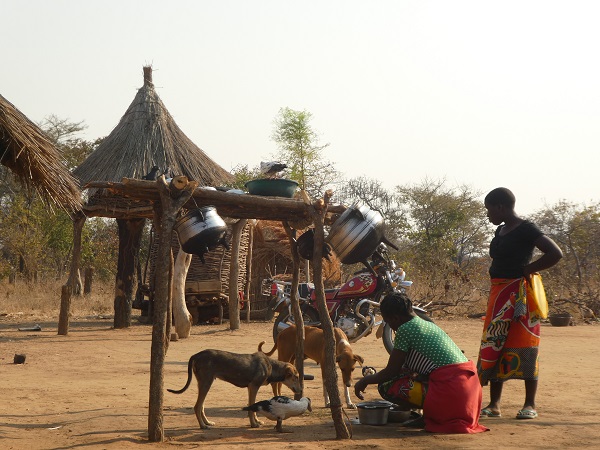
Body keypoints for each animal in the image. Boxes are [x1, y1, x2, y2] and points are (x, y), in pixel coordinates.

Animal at [167, 349, 302, 429]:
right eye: (296, 377)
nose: (300, 390)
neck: (271, 366)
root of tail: (196, 355)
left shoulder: (250, 388)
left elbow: (252, 406)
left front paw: (257, 421)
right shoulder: (254, 386)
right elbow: (251, 407)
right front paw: (253, 424)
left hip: (203, 383)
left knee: (201, 406)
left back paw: (207, 422)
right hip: (206, 383)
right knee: (197, 406)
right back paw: (203, 426)